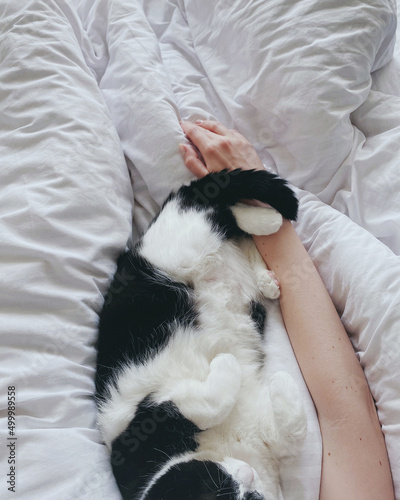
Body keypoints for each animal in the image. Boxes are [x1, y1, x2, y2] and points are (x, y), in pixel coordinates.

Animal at [96, 169, 306, 500]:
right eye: (231, 492)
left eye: (218, 479)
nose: (248, 475)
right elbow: (288, 427)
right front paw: (268, 378)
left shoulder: (142, 423)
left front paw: (234, 365)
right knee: (225, 222)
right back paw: (265, 271)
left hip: (183, 249)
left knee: (213, 209)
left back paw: (266, 221)